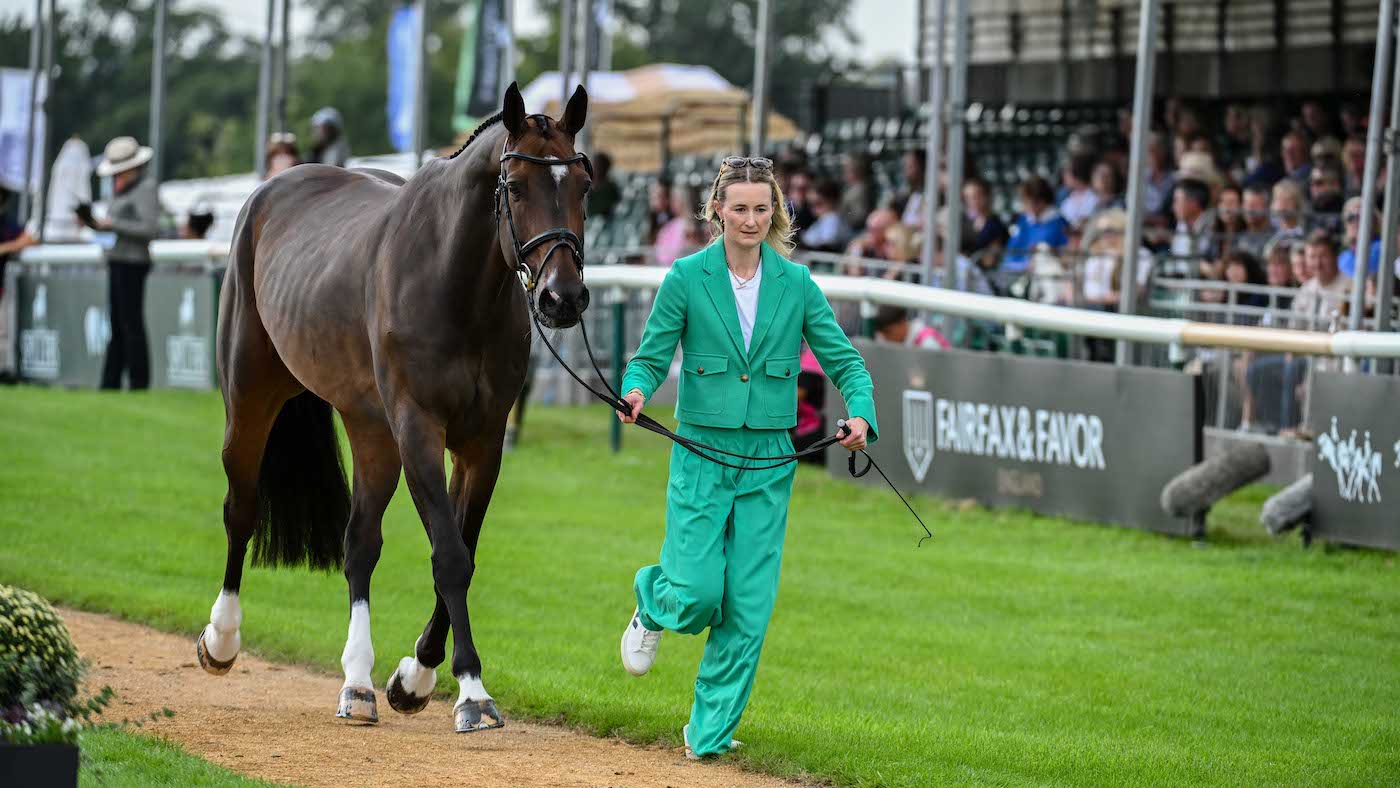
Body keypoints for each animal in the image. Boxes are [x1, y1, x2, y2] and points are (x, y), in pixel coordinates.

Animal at [194, 82, 593, 733]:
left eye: (583, 184)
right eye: (516, 186)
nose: (563, 298)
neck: (454, 285)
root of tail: (275, 187)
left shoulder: (481, 442)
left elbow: (462, 549)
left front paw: (415, 677)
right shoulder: (418, 431)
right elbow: (450, 557)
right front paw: (472, 692)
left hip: (370, 430)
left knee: (360, 542)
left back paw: (357, 684)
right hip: (251, 400)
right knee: (242, 509)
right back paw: (222, 639)